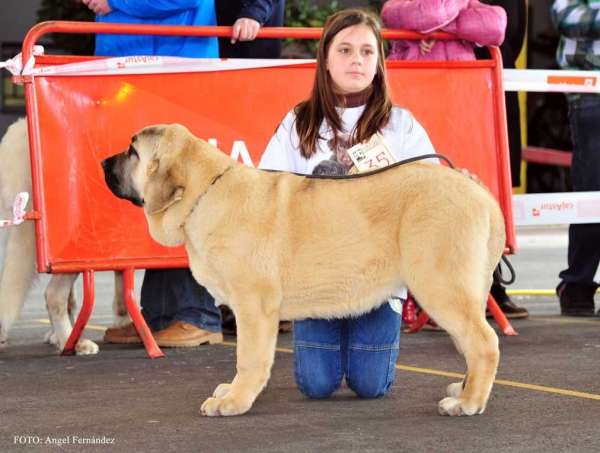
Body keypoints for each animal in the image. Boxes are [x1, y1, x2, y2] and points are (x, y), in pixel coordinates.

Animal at [103, 122, 506, 416]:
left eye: (133, 151)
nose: (103, 163)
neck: (206, 192)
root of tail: (480, 192)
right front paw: (232, 391)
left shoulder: (253, 308)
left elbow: (248, 359)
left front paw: (233, 401)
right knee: (471, 343)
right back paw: (466, 388)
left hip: (441, 285)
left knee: (484, 342)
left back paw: (468, 402)